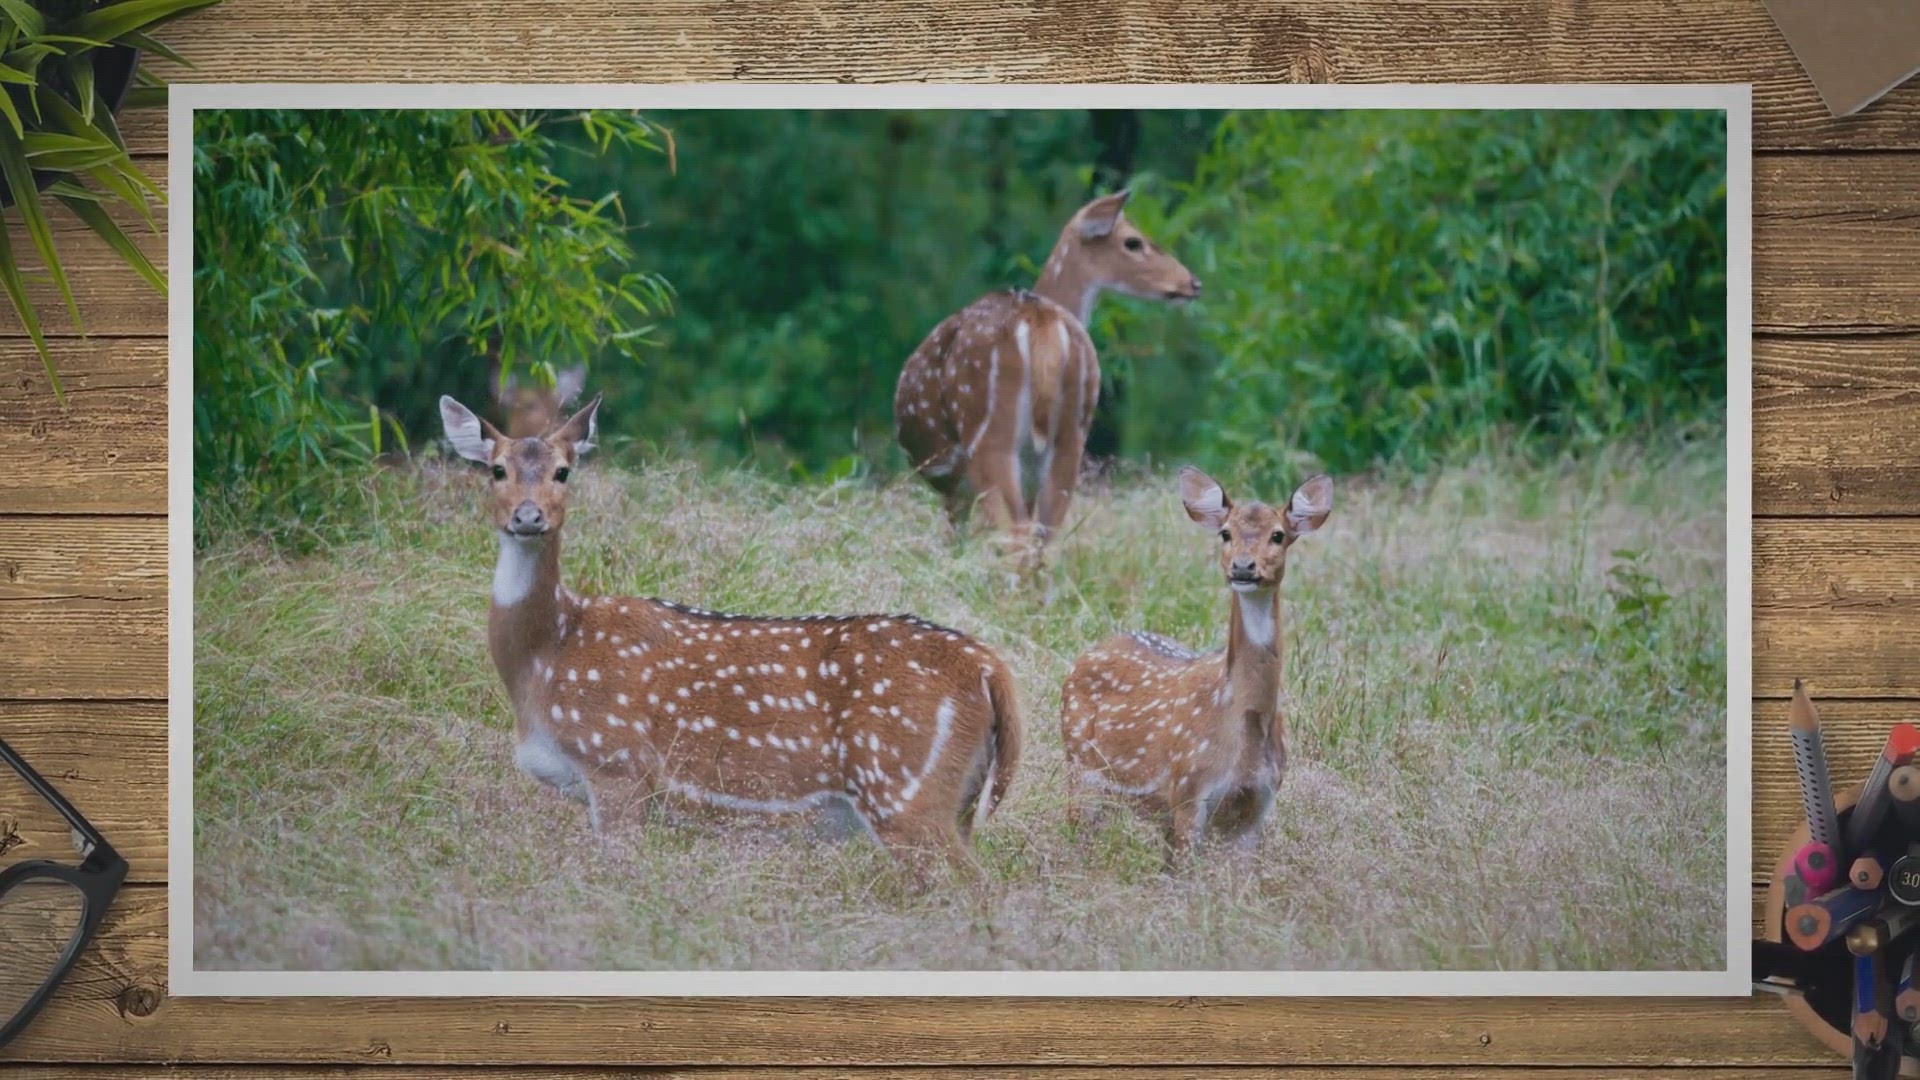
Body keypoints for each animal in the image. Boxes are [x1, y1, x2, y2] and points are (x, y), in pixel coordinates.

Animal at [438, 392, 1022, 876]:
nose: (528, 516)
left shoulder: (617, 764)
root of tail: (989, 667)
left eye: (563, 472)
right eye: (496, 469)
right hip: (959, 802)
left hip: (904, 789)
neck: (548, 656)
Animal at [894, 189, 1199, 552]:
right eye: (1133, 242)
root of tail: (1040, 323)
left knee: (1018, 535)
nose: (1193, 283)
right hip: (1071, 435)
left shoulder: (956, 489)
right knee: (1047, 537)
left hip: (987, 434)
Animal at [1060, 466, 1332, 854]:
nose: (1243, 566)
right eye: (1226, 533)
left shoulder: (1260, 803)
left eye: (1278, 535)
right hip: (1078, 765)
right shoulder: (1189, 790)